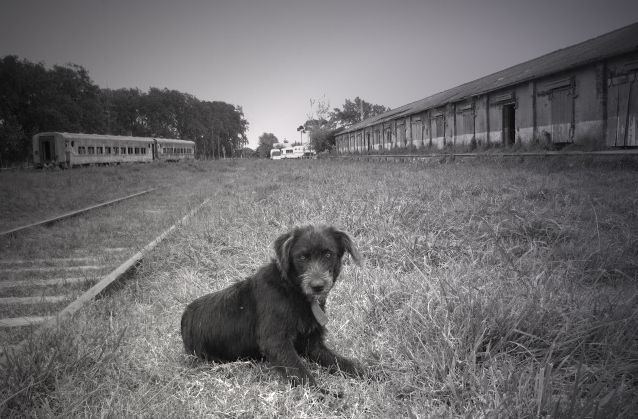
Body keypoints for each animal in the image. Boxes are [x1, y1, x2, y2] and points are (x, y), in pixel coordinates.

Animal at [182, 226, 368, 394]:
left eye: (328, 254)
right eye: (302, 257)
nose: (317, 286)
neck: (291, 289)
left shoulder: (313, 345)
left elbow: (344, 363)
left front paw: (370, 372)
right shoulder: (276, 342)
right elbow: (301, 373)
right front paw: (325, 395)